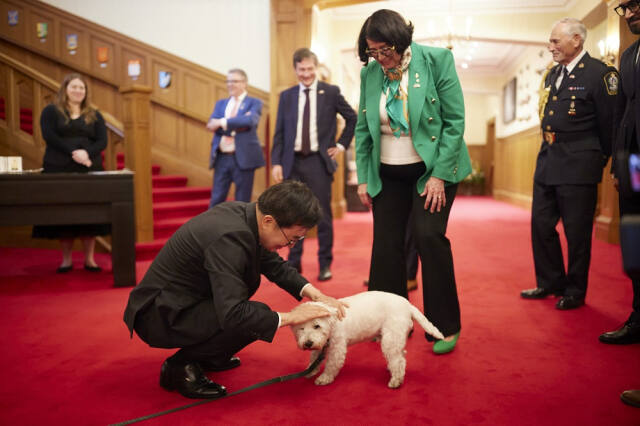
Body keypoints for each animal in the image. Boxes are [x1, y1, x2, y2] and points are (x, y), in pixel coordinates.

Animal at [292, 292, 444, 388]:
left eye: (316, 326)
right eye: (301, 328)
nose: (308, 343)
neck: (333, 320)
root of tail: (408, 306)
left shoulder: (337, 348)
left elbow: (331, 365)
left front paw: (324, 378)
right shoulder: (320, 346)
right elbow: (314, 358)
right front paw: (310, 370)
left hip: (390, 338)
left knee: (399, 360)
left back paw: (396, 380)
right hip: (394, 338)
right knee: (401, 356)